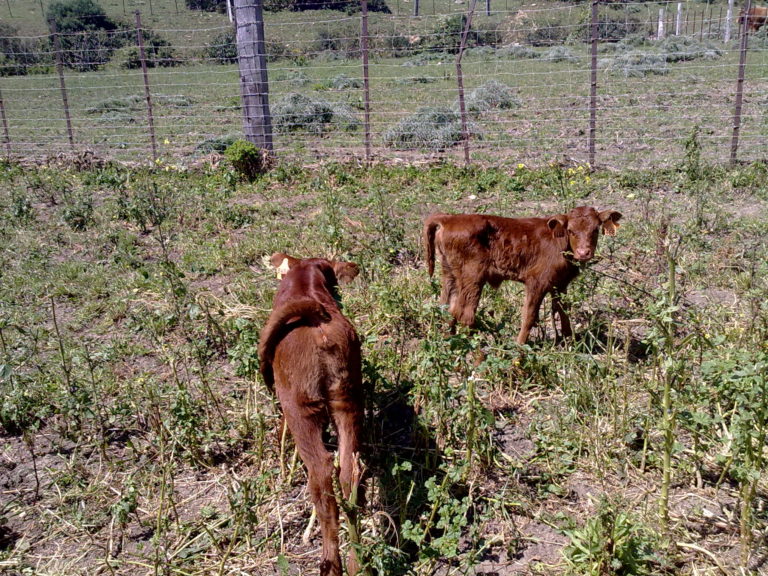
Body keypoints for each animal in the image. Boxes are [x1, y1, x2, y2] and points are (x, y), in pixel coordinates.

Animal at [260, 252, 364, 576]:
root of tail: (318, 322)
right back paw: (356, 561)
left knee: (322, 476)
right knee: (348, 471)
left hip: (300, 410)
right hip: (347, 399)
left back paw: (331, 563)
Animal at [424, 206, 620, 344]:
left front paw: (570, 341)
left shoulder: (560, 284)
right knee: (464, 313)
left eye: (595, 230)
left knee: (446, 308)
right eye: (571, 230)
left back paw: (448, 341)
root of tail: (450, 218)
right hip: (472, 277)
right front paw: (520, 346)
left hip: (450, 273)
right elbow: (529, 316)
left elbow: (563, 312)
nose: (583, 252)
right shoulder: (537, 282)